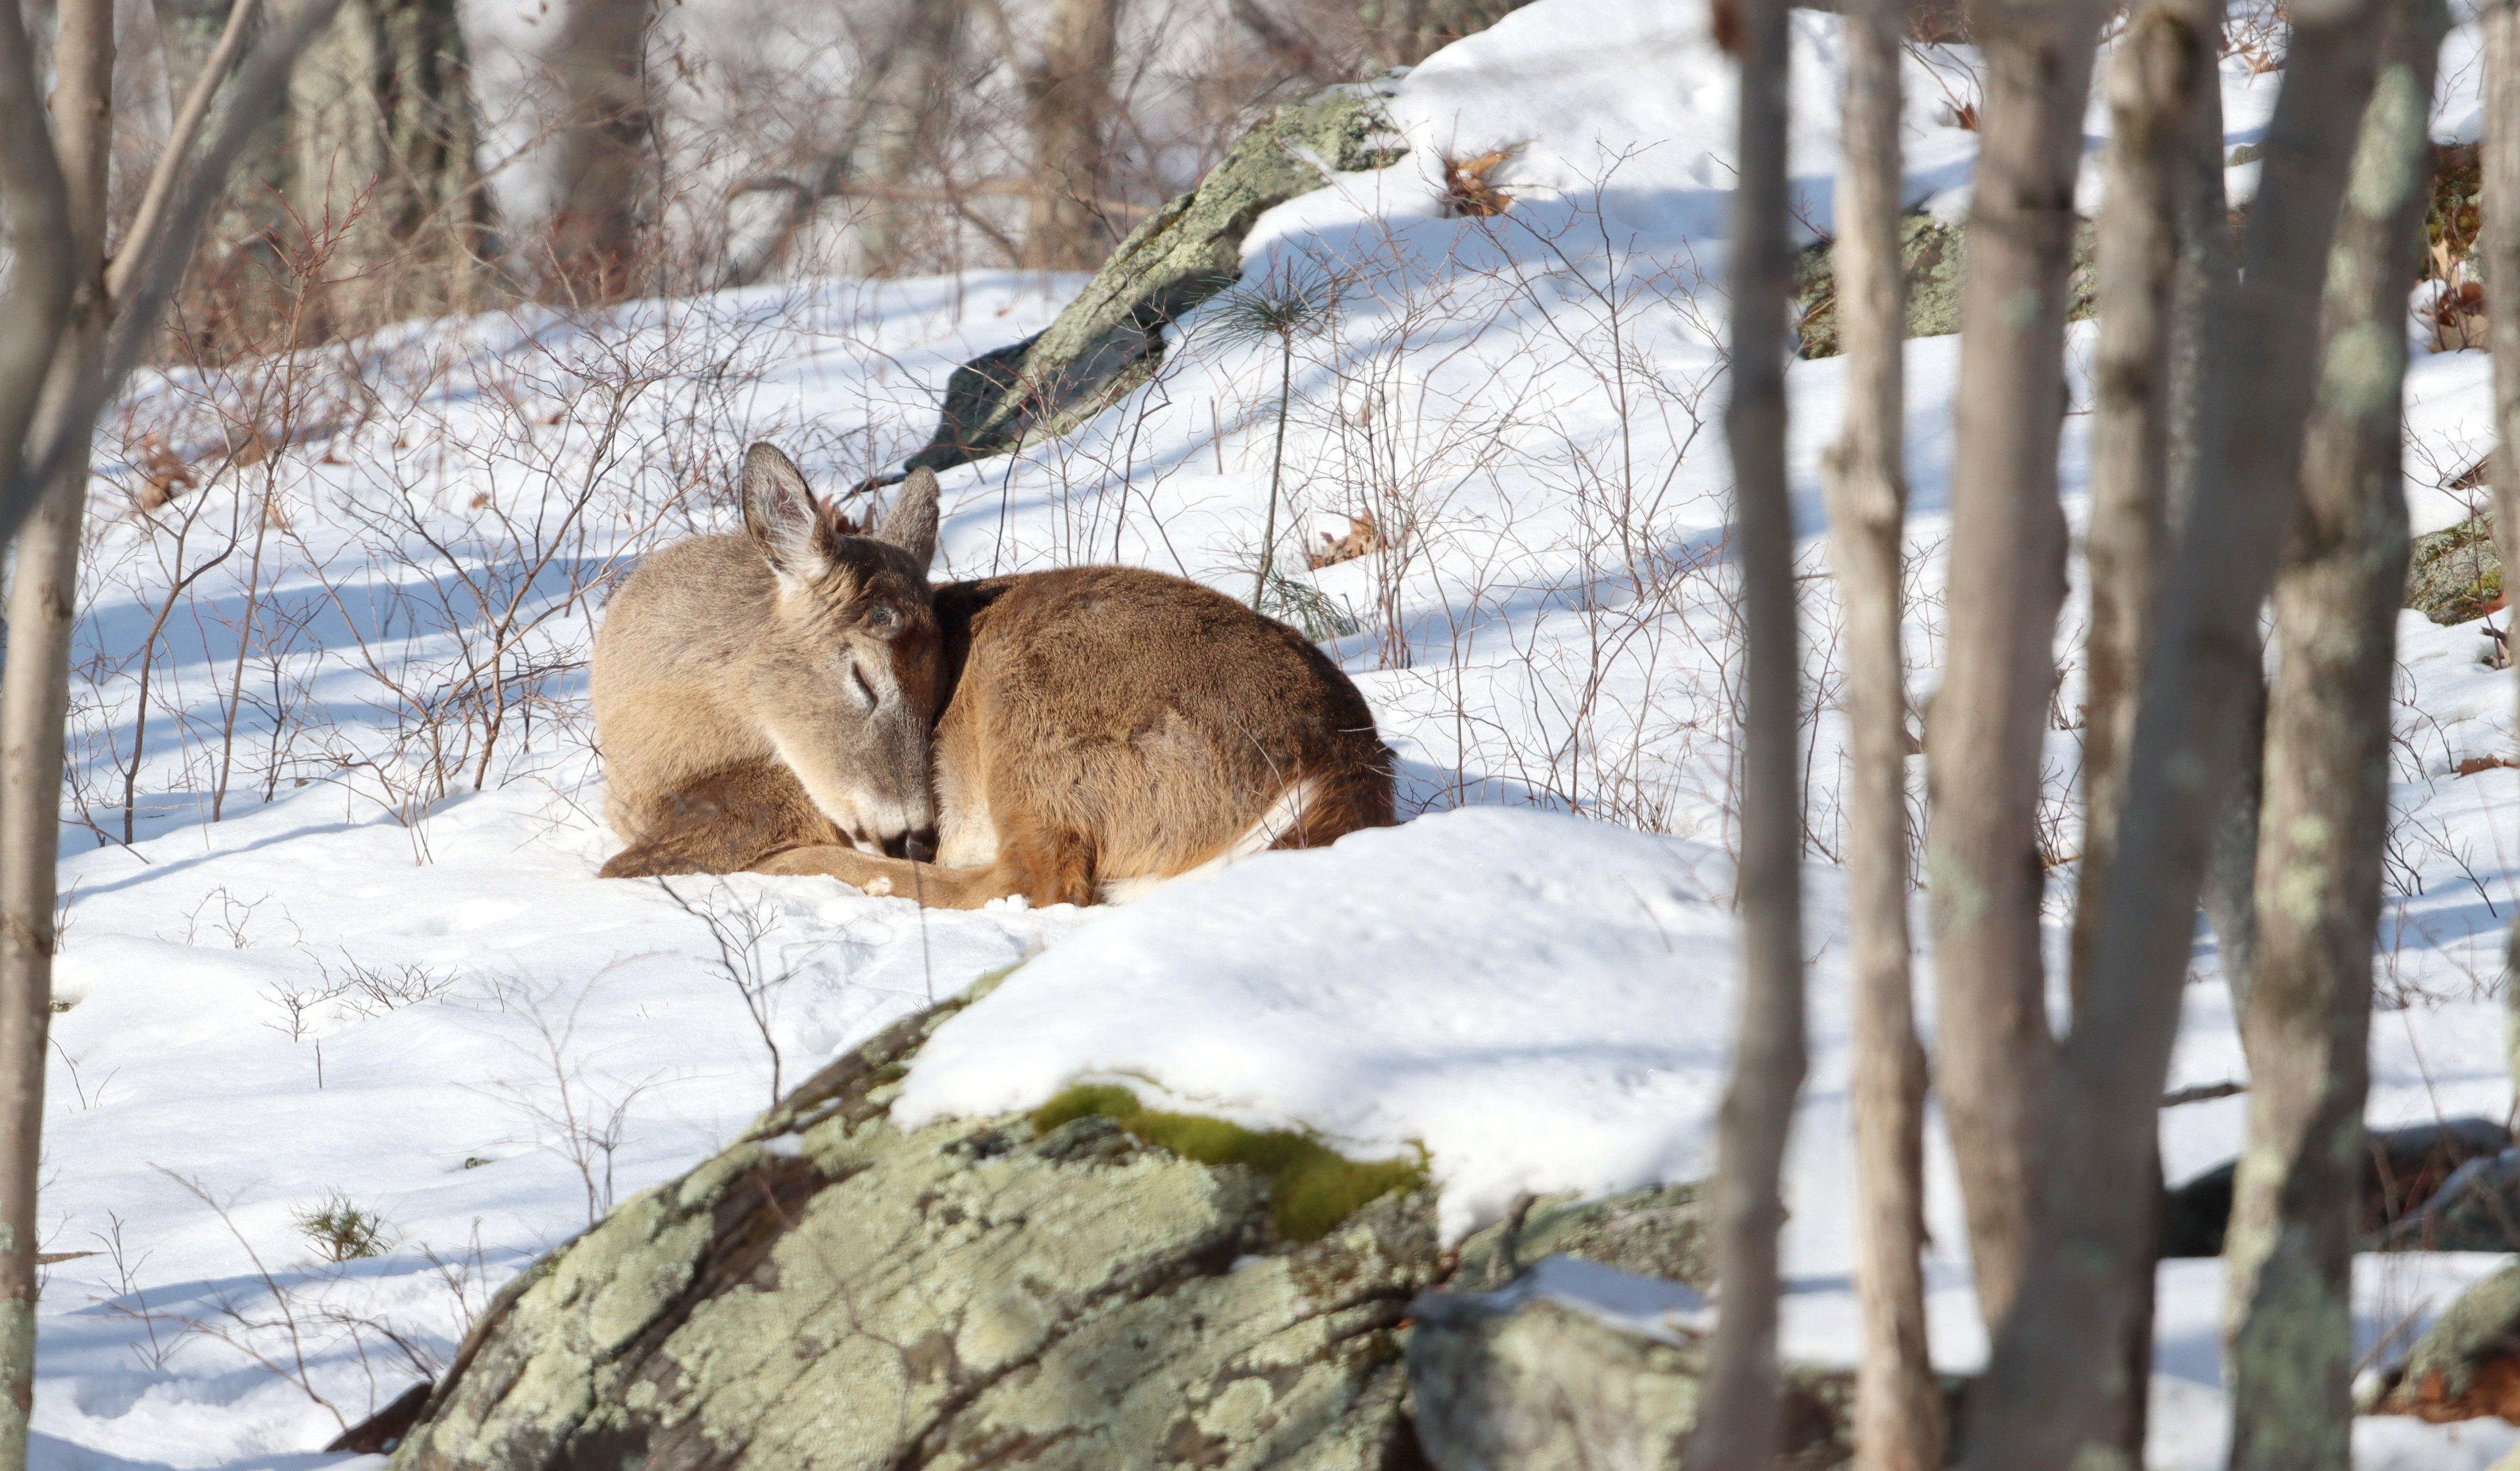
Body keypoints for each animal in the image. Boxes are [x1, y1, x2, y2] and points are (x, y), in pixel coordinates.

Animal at [600, 443, 1411, 902]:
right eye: (863, 676)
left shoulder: (766, 799)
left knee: (1032, 881)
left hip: (1039, 710)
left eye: (933, 694)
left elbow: (620, 866)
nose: (913, 832)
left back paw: (803, 866)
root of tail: (1343, 762)